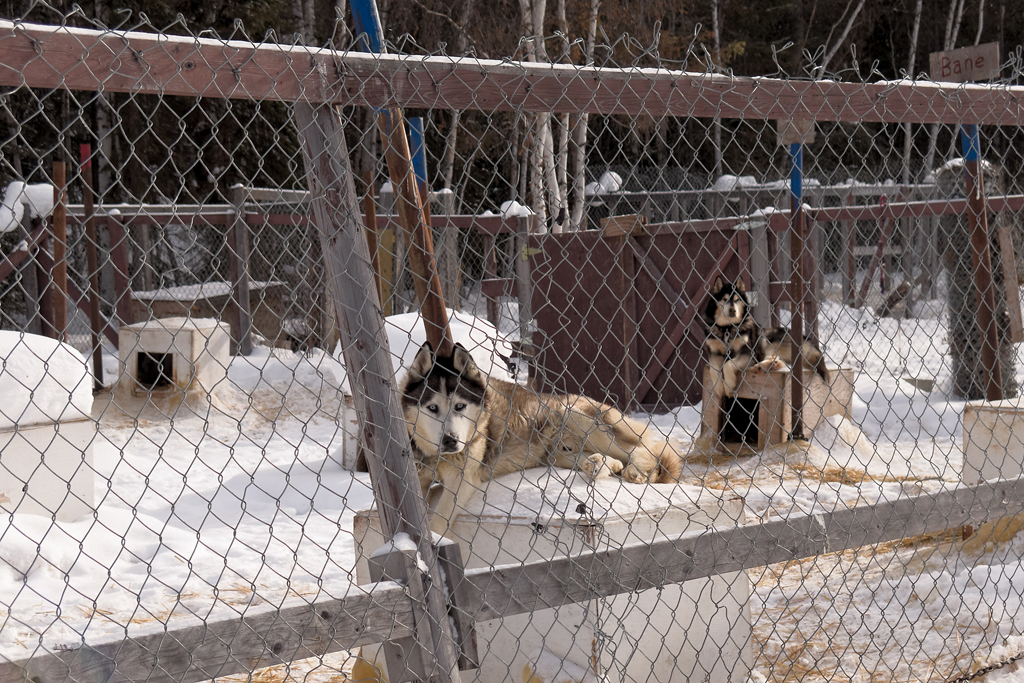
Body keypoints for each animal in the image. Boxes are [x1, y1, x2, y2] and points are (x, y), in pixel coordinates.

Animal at [399, 344, 679, 536]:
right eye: (432, 408)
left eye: (460, 406)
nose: (450, 440)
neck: (435, 457)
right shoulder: (417, 478)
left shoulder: (462, 479)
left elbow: (438, 521)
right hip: (558, 453)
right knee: (609, 460)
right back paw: (598, 465)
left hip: (575, 413)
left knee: (643, 449)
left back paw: (637, 471)